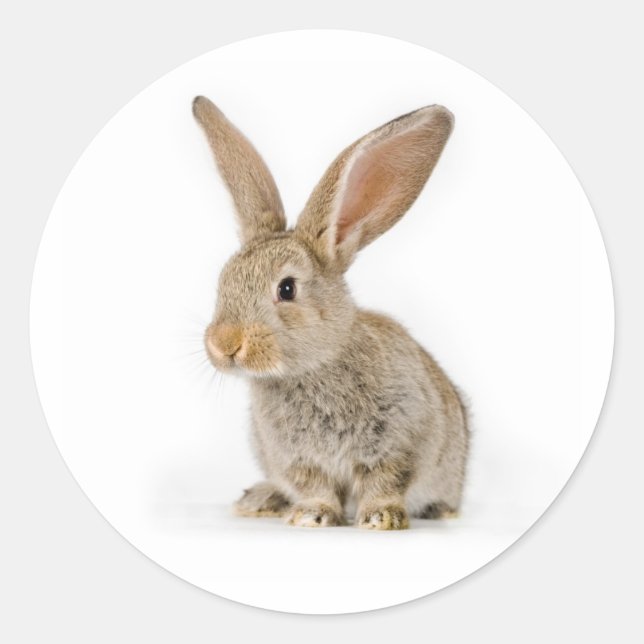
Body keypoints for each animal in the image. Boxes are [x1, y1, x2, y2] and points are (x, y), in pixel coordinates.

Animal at [193, 96, 469, 530]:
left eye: (287, 289)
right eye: (223, 280)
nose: (224, 344)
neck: (313, 367)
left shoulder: (400, 442)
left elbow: (385, 481)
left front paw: (380, 519)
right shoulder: (297, 459)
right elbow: (316, 486)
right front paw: (311, 515)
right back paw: (261, 499)